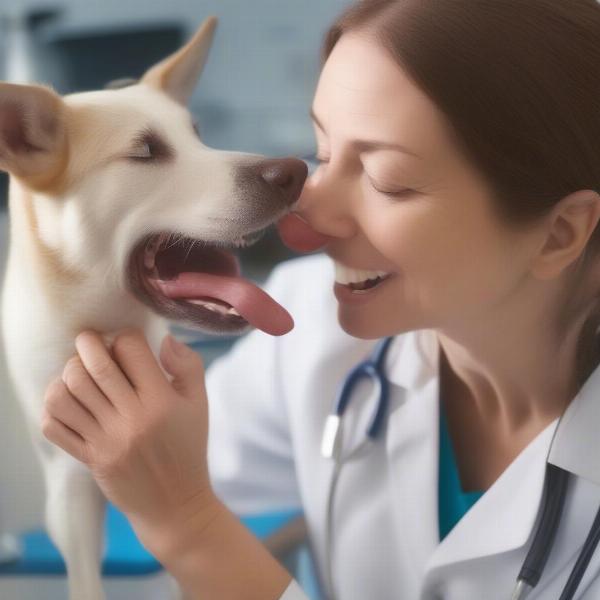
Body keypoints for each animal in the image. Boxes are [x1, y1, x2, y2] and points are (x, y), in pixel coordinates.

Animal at [0, 18, 308, 600]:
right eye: (145, 151)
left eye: (199, 133)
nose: (296, 171)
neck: (99, 326)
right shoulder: (70, 490)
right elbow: (84, 579)